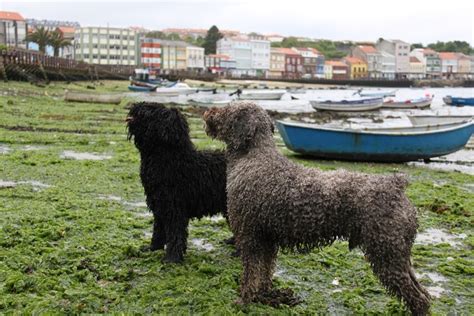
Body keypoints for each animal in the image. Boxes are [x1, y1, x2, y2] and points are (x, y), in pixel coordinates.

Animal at [126, 102, 230, 262]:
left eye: (151, 109)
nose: (135, 105)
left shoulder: (174, 206)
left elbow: (175, 233)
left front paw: (172, 258)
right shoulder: (159, 205)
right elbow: (158, 230)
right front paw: (153, 248)